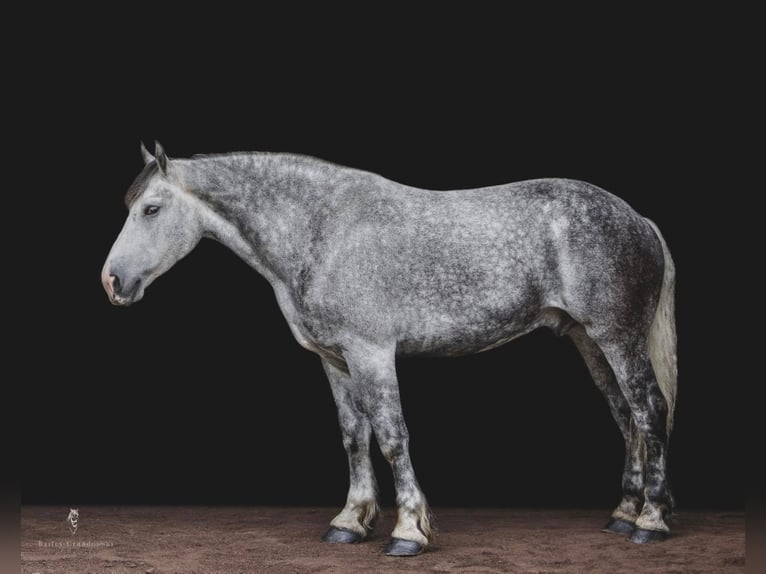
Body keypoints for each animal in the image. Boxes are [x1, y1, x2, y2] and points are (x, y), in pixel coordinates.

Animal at [100, 141, 680, 560]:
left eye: (151, 208)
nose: (112, 281)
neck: (322, 230)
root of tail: (639, 220)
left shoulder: (372, 354)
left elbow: (393, 437)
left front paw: (408, 532)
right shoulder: (334, 360)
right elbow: (354, 438)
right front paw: (350, 521)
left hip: (617, 336)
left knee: (649, 409)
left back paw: (650, 522)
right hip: (589, 340)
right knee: (626, 415)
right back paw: (623, 514)